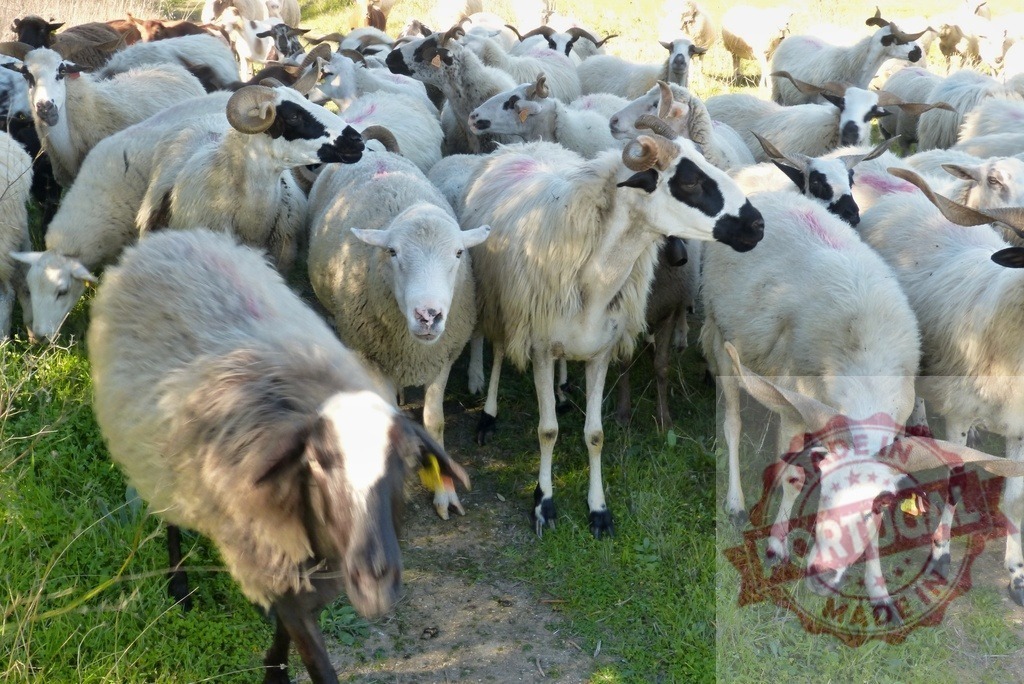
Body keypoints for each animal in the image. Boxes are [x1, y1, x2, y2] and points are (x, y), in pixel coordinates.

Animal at [87, 227, 469, 684]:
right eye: (317, 463)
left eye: (405, 463)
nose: (375, 580)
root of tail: (172, 237)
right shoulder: (277, 564)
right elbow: (317, 662)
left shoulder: (304, 573)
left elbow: (287, 631)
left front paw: (275, 666)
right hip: (155, 456)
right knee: (168, 517)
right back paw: (178, 587)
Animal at [307, 148, 490, 519]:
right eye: (392, 252)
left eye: (459, 252)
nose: (428, 315)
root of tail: (374, 151)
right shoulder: (370, 353)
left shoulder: (443, 355)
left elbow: (434, 420)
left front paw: (445, 492)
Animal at [461, 116, 764, 537]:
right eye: (688, 181)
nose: (758, 225)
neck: (595, 271)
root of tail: (524, 145)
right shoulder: (539, 347)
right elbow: (547, 431)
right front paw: (544, 504)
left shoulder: (600, 351)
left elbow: (595, 435)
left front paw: (598, 510)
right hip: (500, 299)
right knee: (502, 349)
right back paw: (488, 417)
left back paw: (561, 392)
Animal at [857, 167, 1024, 605]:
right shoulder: (960, 413)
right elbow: (957, 482)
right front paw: (940, 555)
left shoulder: (1021, 428)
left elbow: (1016, 499)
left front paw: (1017, 574)